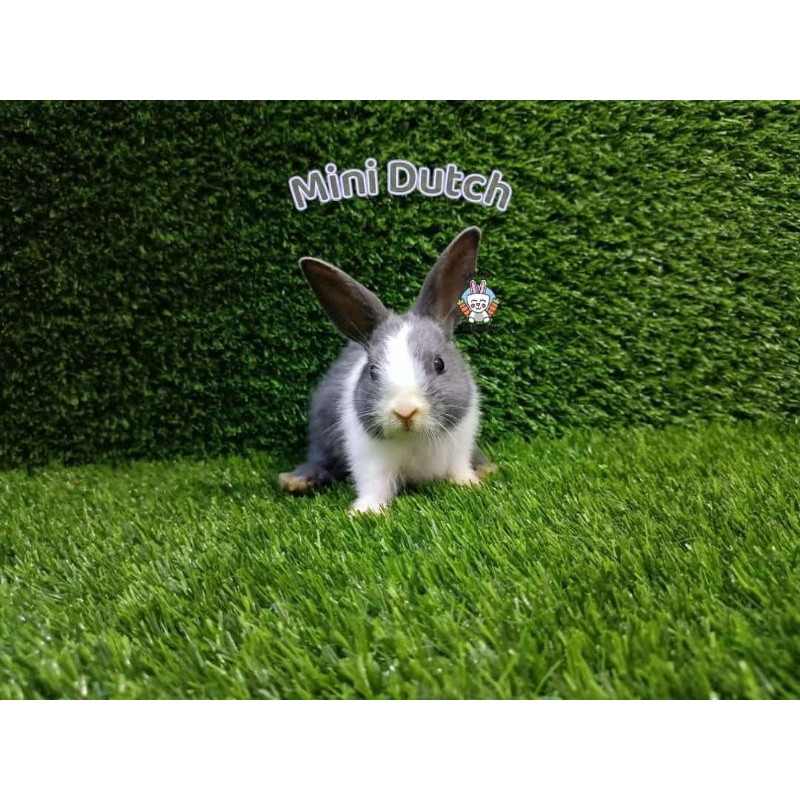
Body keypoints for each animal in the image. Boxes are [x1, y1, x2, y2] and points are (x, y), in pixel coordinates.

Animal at [278, 227, 497, 514]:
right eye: (372, 371)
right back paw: (296, 481)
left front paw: (470, 485)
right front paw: (364, 512)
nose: (405, 410)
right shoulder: (370, 459)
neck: (414, 438)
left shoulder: (460, 446)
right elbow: (375, 486)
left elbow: (459, 470)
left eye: (439, 364)